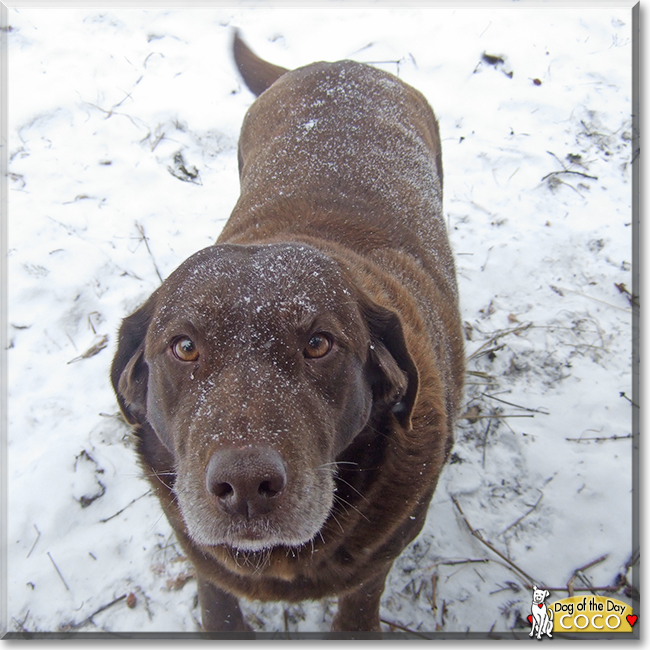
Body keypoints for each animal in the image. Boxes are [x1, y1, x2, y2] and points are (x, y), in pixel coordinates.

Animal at [112, 31, 466, 632]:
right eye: (183, 347)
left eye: (319, 344)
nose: (246, 487)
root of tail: (334, 64)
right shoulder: (209, 569)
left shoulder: (376, 564)